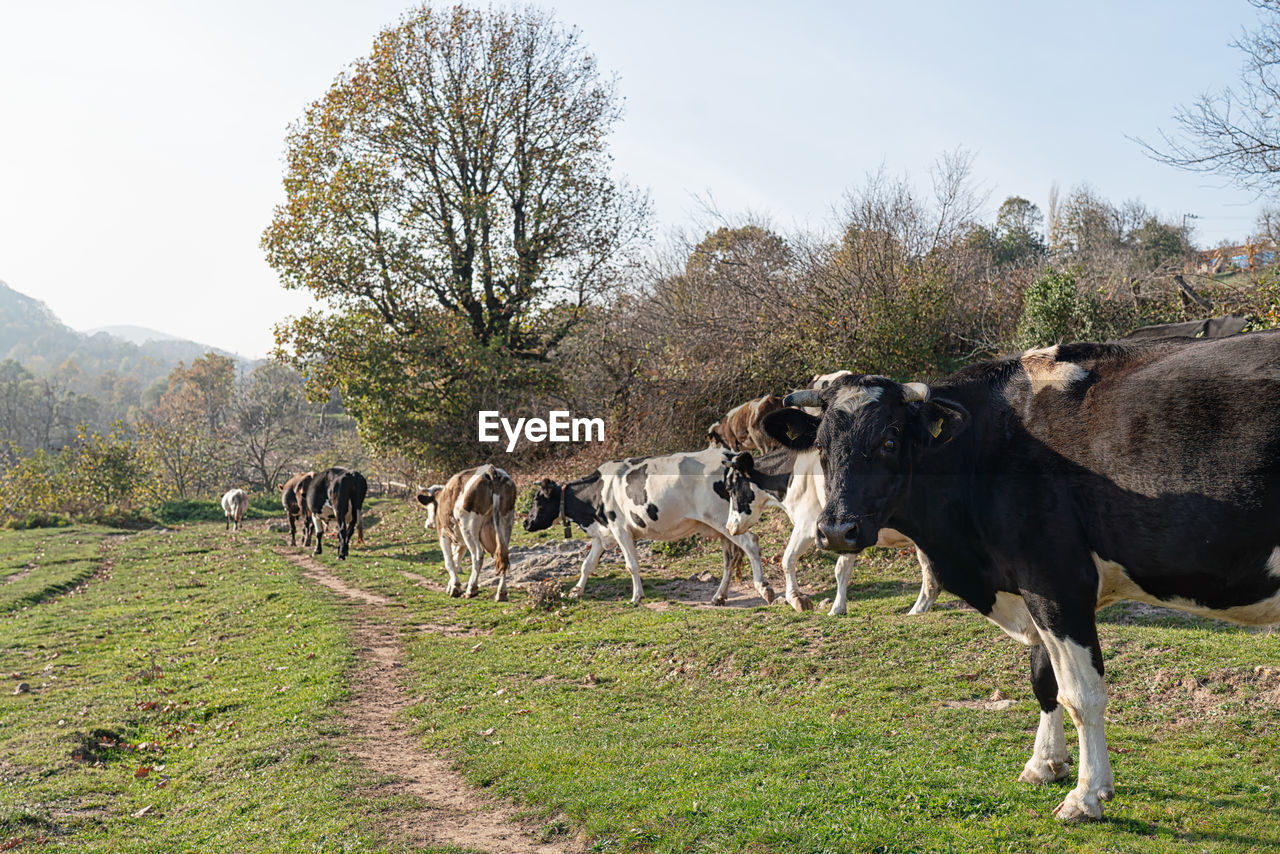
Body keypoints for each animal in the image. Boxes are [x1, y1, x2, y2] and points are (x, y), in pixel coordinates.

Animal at [419, 468, 519, 601]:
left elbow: (449, 561)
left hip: (468, 528)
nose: (428, 523)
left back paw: (471, 589)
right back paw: (501, 593)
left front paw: (454, 587)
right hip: (505, 523)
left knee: (477, 555)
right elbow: (456, 561)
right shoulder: (461, 542)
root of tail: (491, 471)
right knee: (504, 556)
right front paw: (451, 585)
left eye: (429, 507)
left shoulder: (443, 535)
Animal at [519, 448, 768, 606]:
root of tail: (728, 454)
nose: (526, 522)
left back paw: (765, 589)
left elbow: (632, 565)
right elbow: (586, 565)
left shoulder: (620, 529)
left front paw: (636, 597)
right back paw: (719, 597)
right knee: (730, 559)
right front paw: (576, 593)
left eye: (537, 500)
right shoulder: (603, 533)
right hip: (723, 526)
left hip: (724, 519)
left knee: (751, 543)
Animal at [721, 448, 942, 614]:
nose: (729, 527)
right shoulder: (844, 532)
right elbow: (842, 569)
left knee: (929, 575)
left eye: (730, 488)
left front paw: (798, 599)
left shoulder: (807, 524)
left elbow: (788, 559)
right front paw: (838, 608)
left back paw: (917, 609)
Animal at [757, 332, 1280, 819]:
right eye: (822, 446)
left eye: (889, 440)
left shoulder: (1054, 582)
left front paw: (1086, 795)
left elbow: (1082, 694)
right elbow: (1043, 679)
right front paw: (1046, 764)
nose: (835, 531)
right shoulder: (1031, 589)